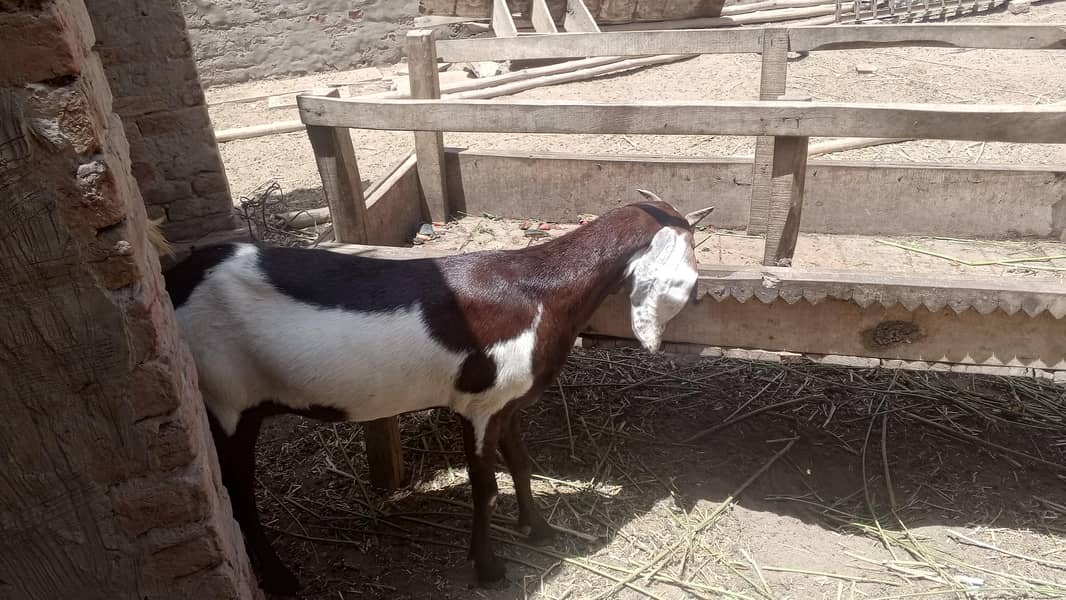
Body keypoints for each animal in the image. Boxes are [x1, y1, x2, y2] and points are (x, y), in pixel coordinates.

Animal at [162, 191, 713, 594]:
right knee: (236, 493)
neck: (539, 290)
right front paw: (488, 570)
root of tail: (177, 280)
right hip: (228, 401)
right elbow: (486, 486)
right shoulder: (478, 406)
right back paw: (280, 580)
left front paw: (538, 530)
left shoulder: (507, 404)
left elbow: (521, 465)